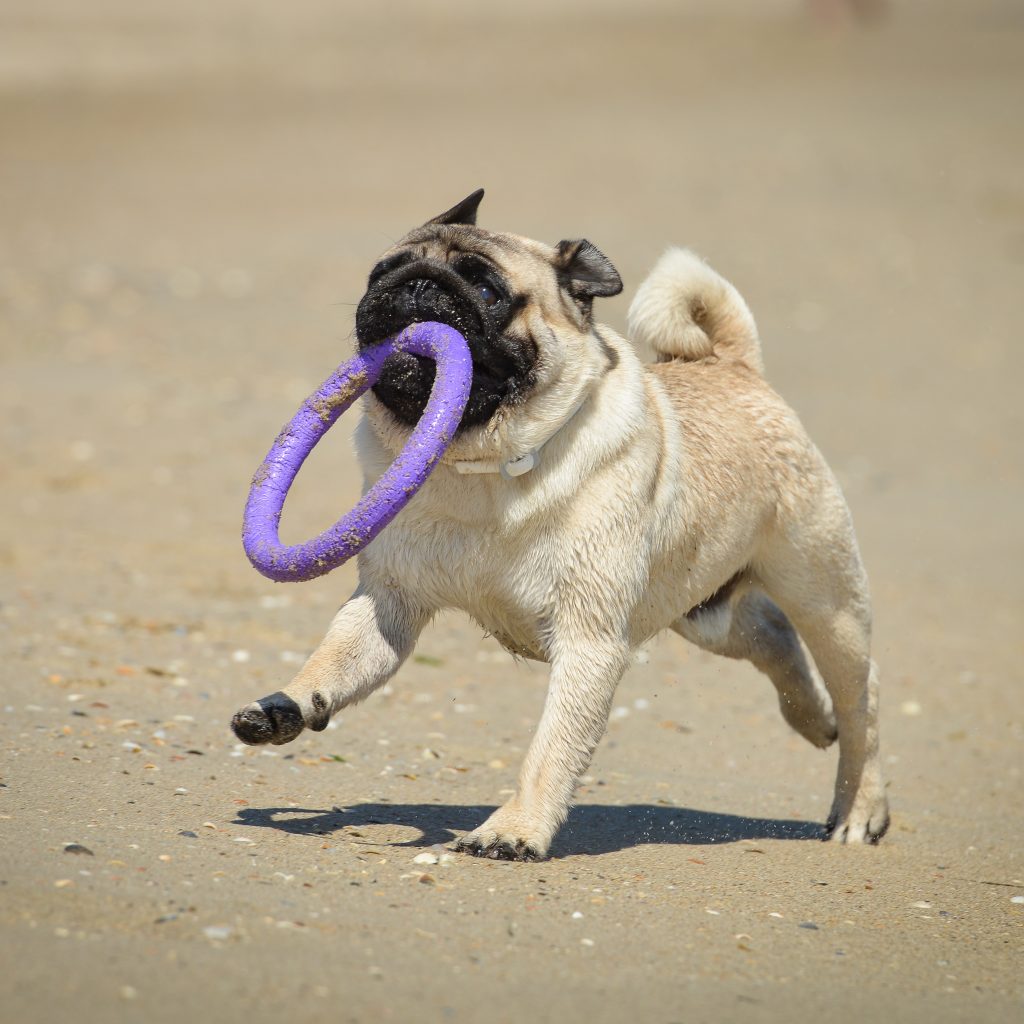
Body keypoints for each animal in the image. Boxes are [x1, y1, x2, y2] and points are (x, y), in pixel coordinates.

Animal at [232, 190, 888, 856]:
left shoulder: (589, 642)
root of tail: (732, 366)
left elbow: (552, 748)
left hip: (826, 599)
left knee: (861, 699)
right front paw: (287, 705)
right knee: (771, 635)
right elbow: (335, 659)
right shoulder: (388, 604)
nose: (417, 285)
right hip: (701, 611)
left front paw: (515, 829)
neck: (480, 468)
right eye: (380, 273)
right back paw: (813, 719)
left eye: (486, 290)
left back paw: (859, 809)